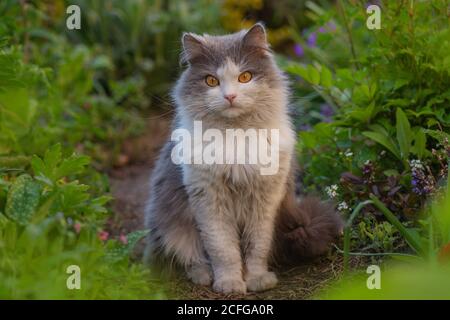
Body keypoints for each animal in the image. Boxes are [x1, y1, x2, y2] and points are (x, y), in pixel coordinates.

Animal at [144, 23, 342, 296]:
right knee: (190, 257)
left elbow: (256, 247)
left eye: (245, 77)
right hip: (170, 224)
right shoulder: (209, 200)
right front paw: (229, 283)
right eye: (211, 80)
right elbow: (223, 250)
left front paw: (257, 279)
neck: (237, 134)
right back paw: (204, 276)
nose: (230, 96)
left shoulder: (265, 200)